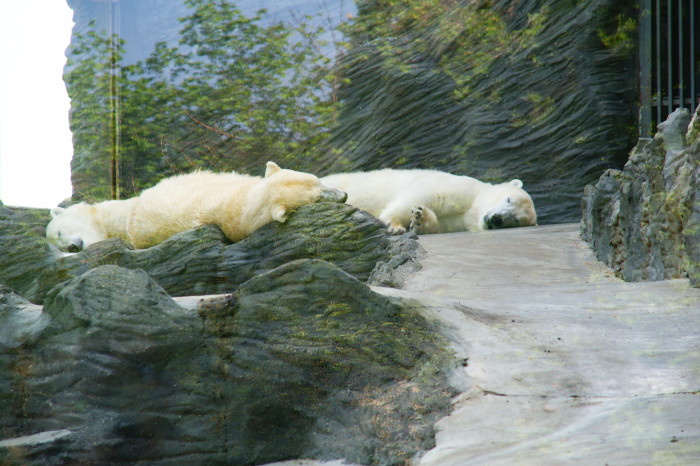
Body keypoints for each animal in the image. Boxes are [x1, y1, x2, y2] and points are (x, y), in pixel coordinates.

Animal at [322, 167, 536, 235]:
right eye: (508, 199)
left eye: (516, 220)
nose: (497, 219)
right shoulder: (461, 188)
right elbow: (422, 194)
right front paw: (394, 225)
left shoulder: (459, 223)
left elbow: (439, 224)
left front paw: (419, 220)